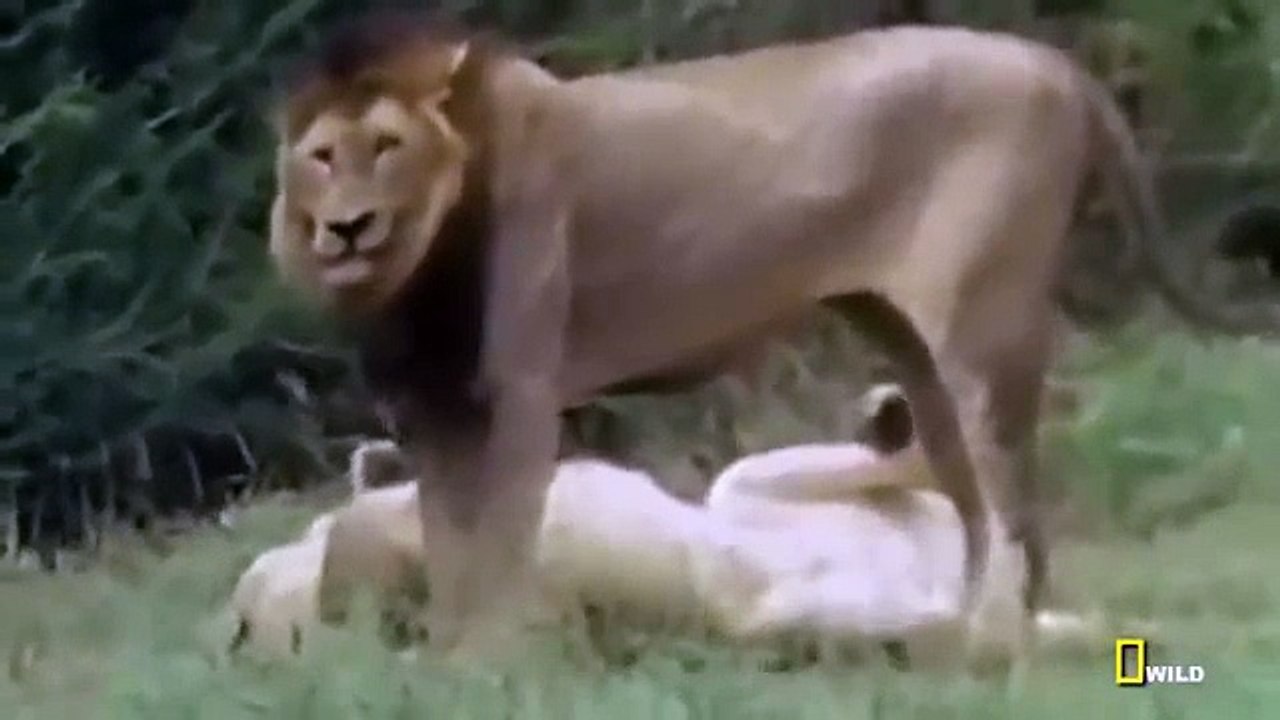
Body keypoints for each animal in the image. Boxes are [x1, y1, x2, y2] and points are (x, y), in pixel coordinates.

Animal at [266, 12, 1269, 663]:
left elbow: (500, 551)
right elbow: (450, 558)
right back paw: (970, 648)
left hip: (984, 331)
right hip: (910, 339)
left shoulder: (515, 394)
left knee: (1015, 504)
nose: (346, 229)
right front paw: (450, 665)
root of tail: (1056, 65)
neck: (414, 272)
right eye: (322, 158)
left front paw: (497, 669)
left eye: (387, 147)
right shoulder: (430, 415)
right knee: (979, 507)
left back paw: (993, 643)